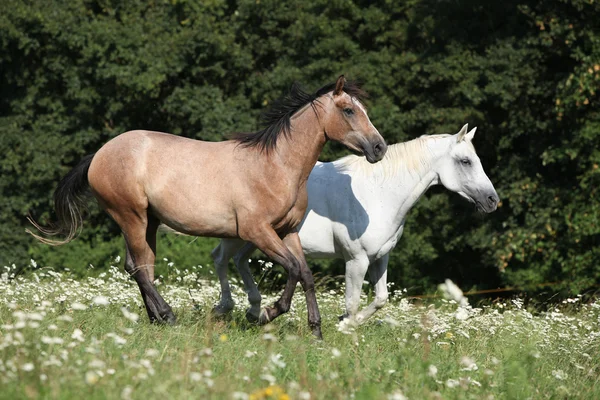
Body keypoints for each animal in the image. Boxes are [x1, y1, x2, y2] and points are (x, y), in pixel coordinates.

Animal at [29, 75, 384, 338]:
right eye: (348, 110)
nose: (379, 148)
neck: (276, 166)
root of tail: (99, 155)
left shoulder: (288, 232)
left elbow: (306, 274)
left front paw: (316, 332)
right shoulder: (257, 232)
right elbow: (294, 270)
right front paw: (265, 314)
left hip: (149, 221)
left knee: (140, 265)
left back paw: (156, 319)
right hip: (130, 216)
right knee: (140, 267)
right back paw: (168, 316)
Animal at [210, 125, 496, 324]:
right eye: (466, 161)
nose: (492, 200)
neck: (378, 194)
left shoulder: (380, 257)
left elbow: (380, 299)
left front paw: (346, 322)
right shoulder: (356, 260)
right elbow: (352, 302)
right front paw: (345, 326)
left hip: (256, 238)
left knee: (238, 260)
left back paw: (255, 310)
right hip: (240, 235)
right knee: (221, 259)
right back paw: (226, 308)